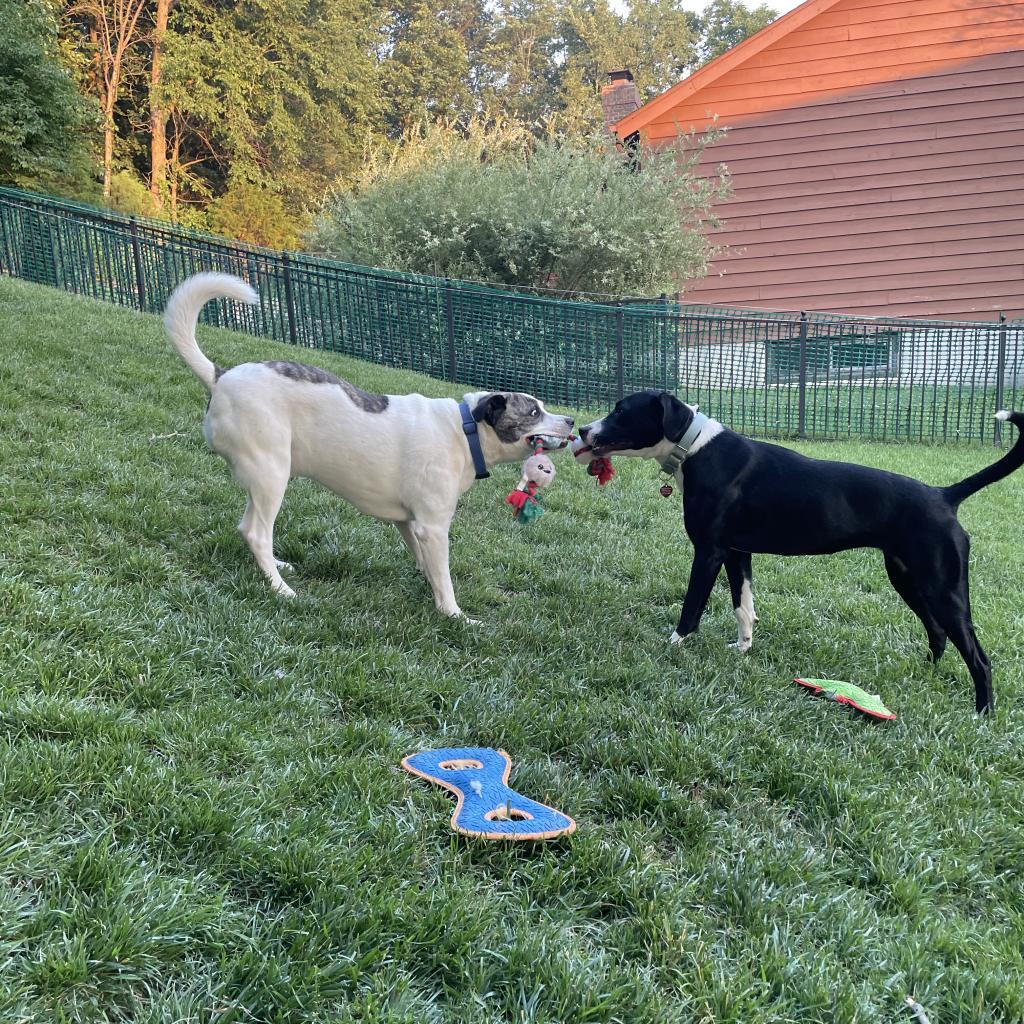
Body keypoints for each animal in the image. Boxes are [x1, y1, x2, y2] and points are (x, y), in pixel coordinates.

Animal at [163, 272, 573, 618]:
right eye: (534, 411)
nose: (571, 421)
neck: (464, 428)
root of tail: (221, 376)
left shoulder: (409, 523)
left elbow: (427, 566)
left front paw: (430, 589)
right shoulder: (433, 527)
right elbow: (444, 577)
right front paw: (454, 615)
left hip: (267, 476)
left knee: (249, 527)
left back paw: (277, 567)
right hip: (270, 474)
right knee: (256, 533)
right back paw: (280, 589)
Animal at [585, 391, 1024, 712]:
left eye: (621, 411)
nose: (585, 429)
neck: (697, 448)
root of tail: (944, 496)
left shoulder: (708, 552)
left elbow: (692, 607)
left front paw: (673, 644)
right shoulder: (736, 553)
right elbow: (743, 607)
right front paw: (742, 648)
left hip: (944, 590)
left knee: (978, 657)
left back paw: (982, 712)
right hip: (909, 581)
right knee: (938, 634)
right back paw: (926, 672)